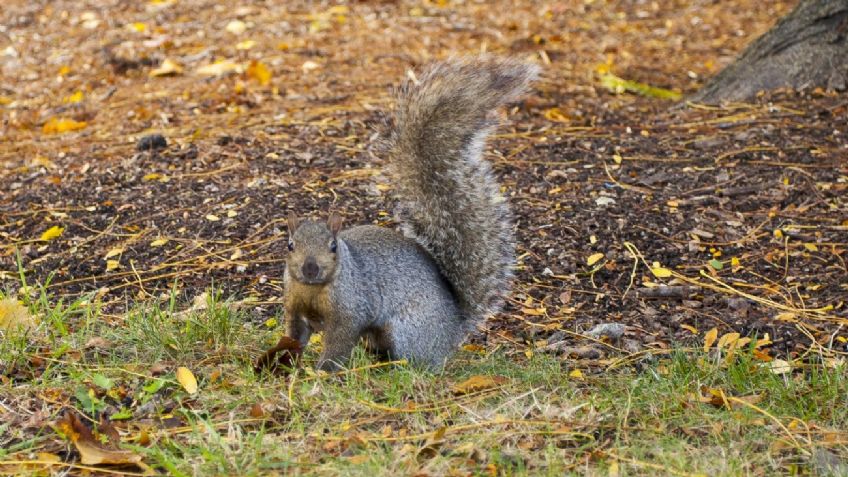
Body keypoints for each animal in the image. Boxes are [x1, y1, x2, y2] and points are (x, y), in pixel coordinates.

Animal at [282, 56, 539, 371]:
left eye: (333, 246)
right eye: (290, 245)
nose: (310, 268)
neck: (312, 289)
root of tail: (453, 329)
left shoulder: (351, 310)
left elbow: (340, 343)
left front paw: (323, 371)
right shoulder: (295, 307)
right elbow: (295, 335)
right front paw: (285, 360)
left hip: (407, 332)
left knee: (417, 361)